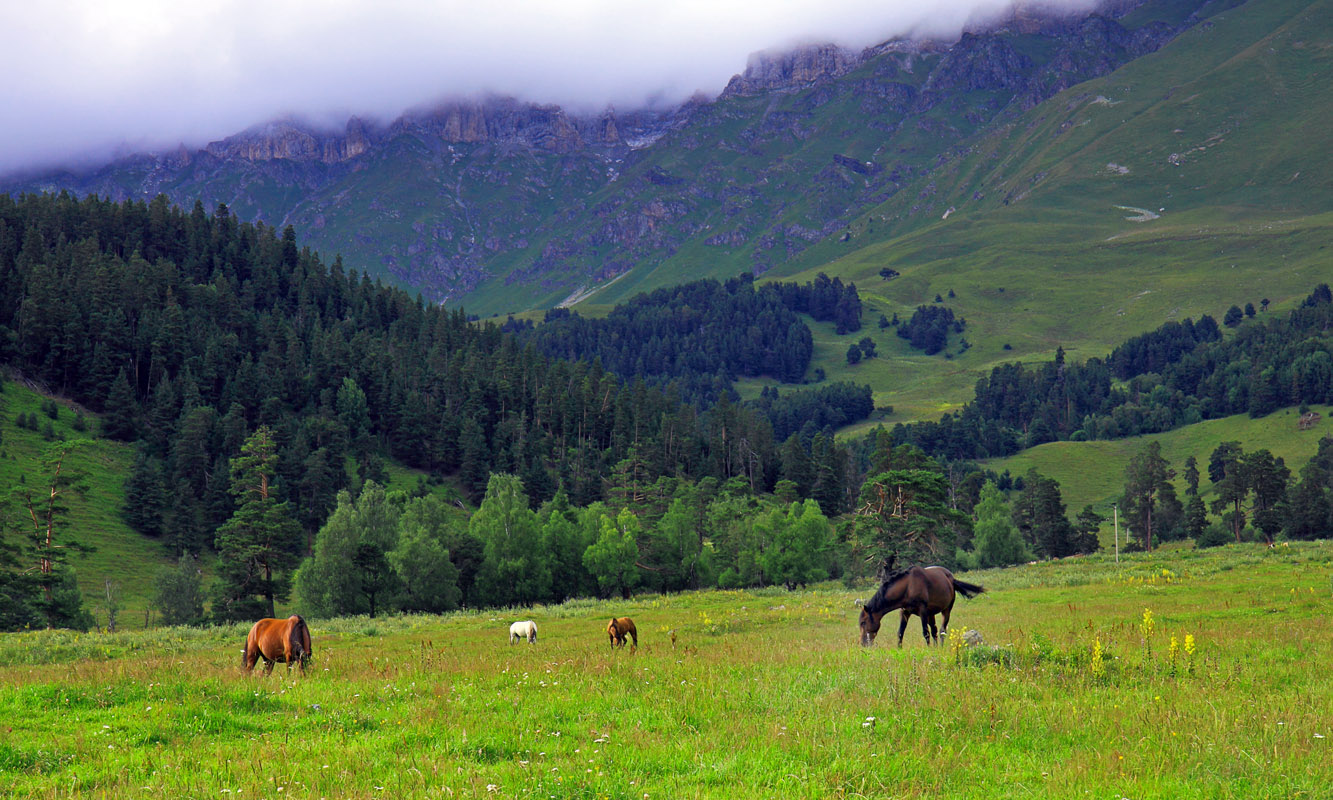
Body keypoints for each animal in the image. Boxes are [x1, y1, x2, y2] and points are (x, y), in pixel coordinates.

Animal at [858, 565, 986, 648]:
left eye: (863, 622)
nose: (863, 643)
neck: (908, 587)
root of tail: (951, 579)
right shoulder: (904, 612)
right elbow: (900, 632)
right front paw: (899, 649)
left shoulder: (922, 611)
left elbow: (925, 632)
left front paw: (928, 649)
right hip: (931, 614)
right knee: (935, 630)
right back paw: (936, 647)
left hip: (946, 610)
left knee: (942, 630)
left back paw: (940, 647)